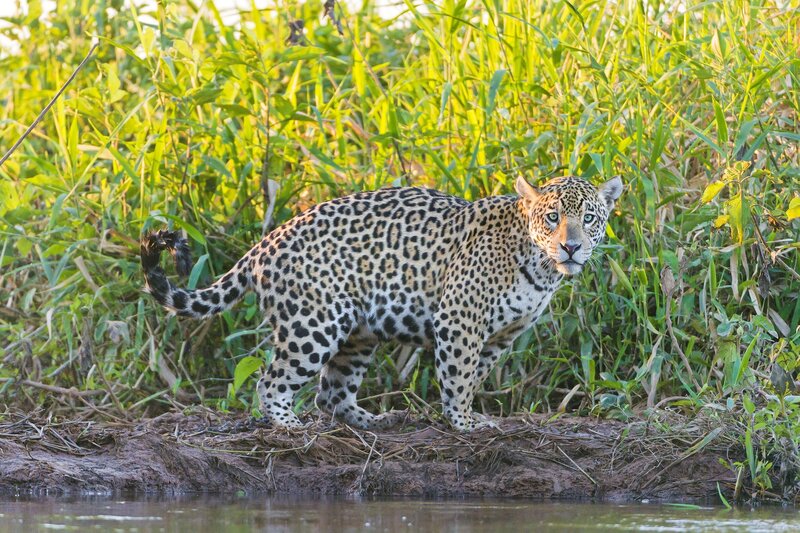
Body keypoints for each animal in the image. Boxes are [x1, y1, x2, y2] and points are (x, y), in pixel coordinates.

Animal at [141, 175, 623, 432]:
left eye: (589, 218)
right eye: (553, 218)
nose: (571, 248)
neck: (540, 268)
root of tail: (266, 242)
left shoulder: (501, 336)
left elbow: (473, 376)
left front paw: (464, 414)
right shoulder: (460, 319)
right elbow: (459, 376)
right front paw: (464, 423)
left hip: (357, 333)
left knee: (331, 393)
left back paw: (373, 421)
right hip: (314, 324)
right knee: (271, 380)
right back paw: (289, 425)